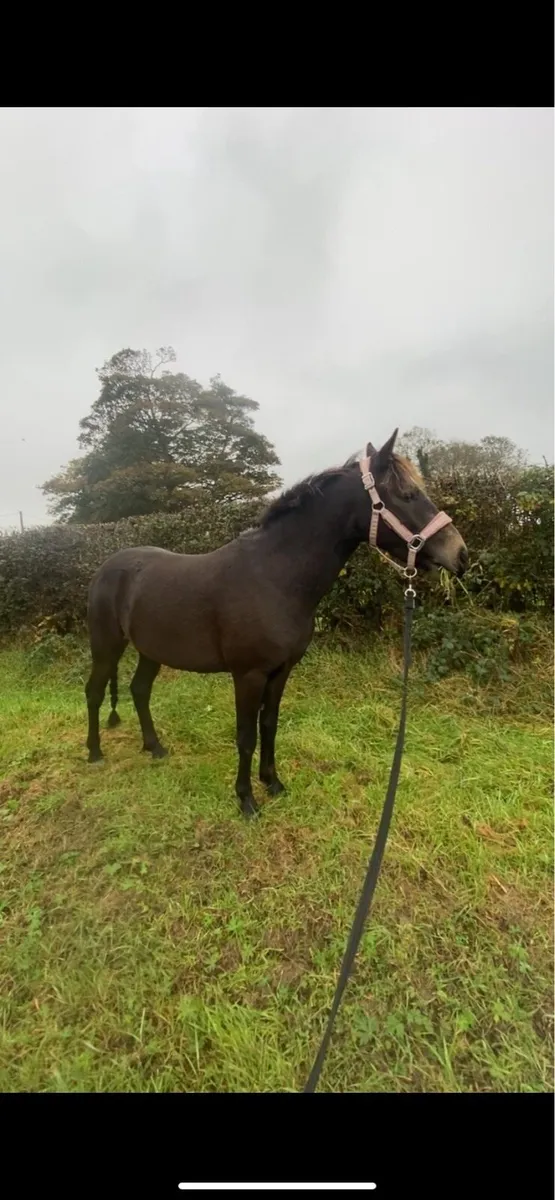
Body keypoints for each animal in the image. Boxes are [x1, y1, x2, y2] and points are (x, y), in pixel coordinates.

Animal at [85, 430, 468, 816]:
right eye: (407, 494)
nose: (460, 554)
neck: (274, 576)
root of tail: (105, 568)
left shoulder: (281, 670)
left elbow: (269, 725)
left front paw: (273, 783)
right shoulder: (248, 675)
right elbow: (246, 735)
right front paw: (246, 800)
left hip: (151, 651)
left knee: (139, 690)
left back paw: (155, 747)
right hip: (106, 647)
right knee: (94, 691)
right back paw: (95, 752)